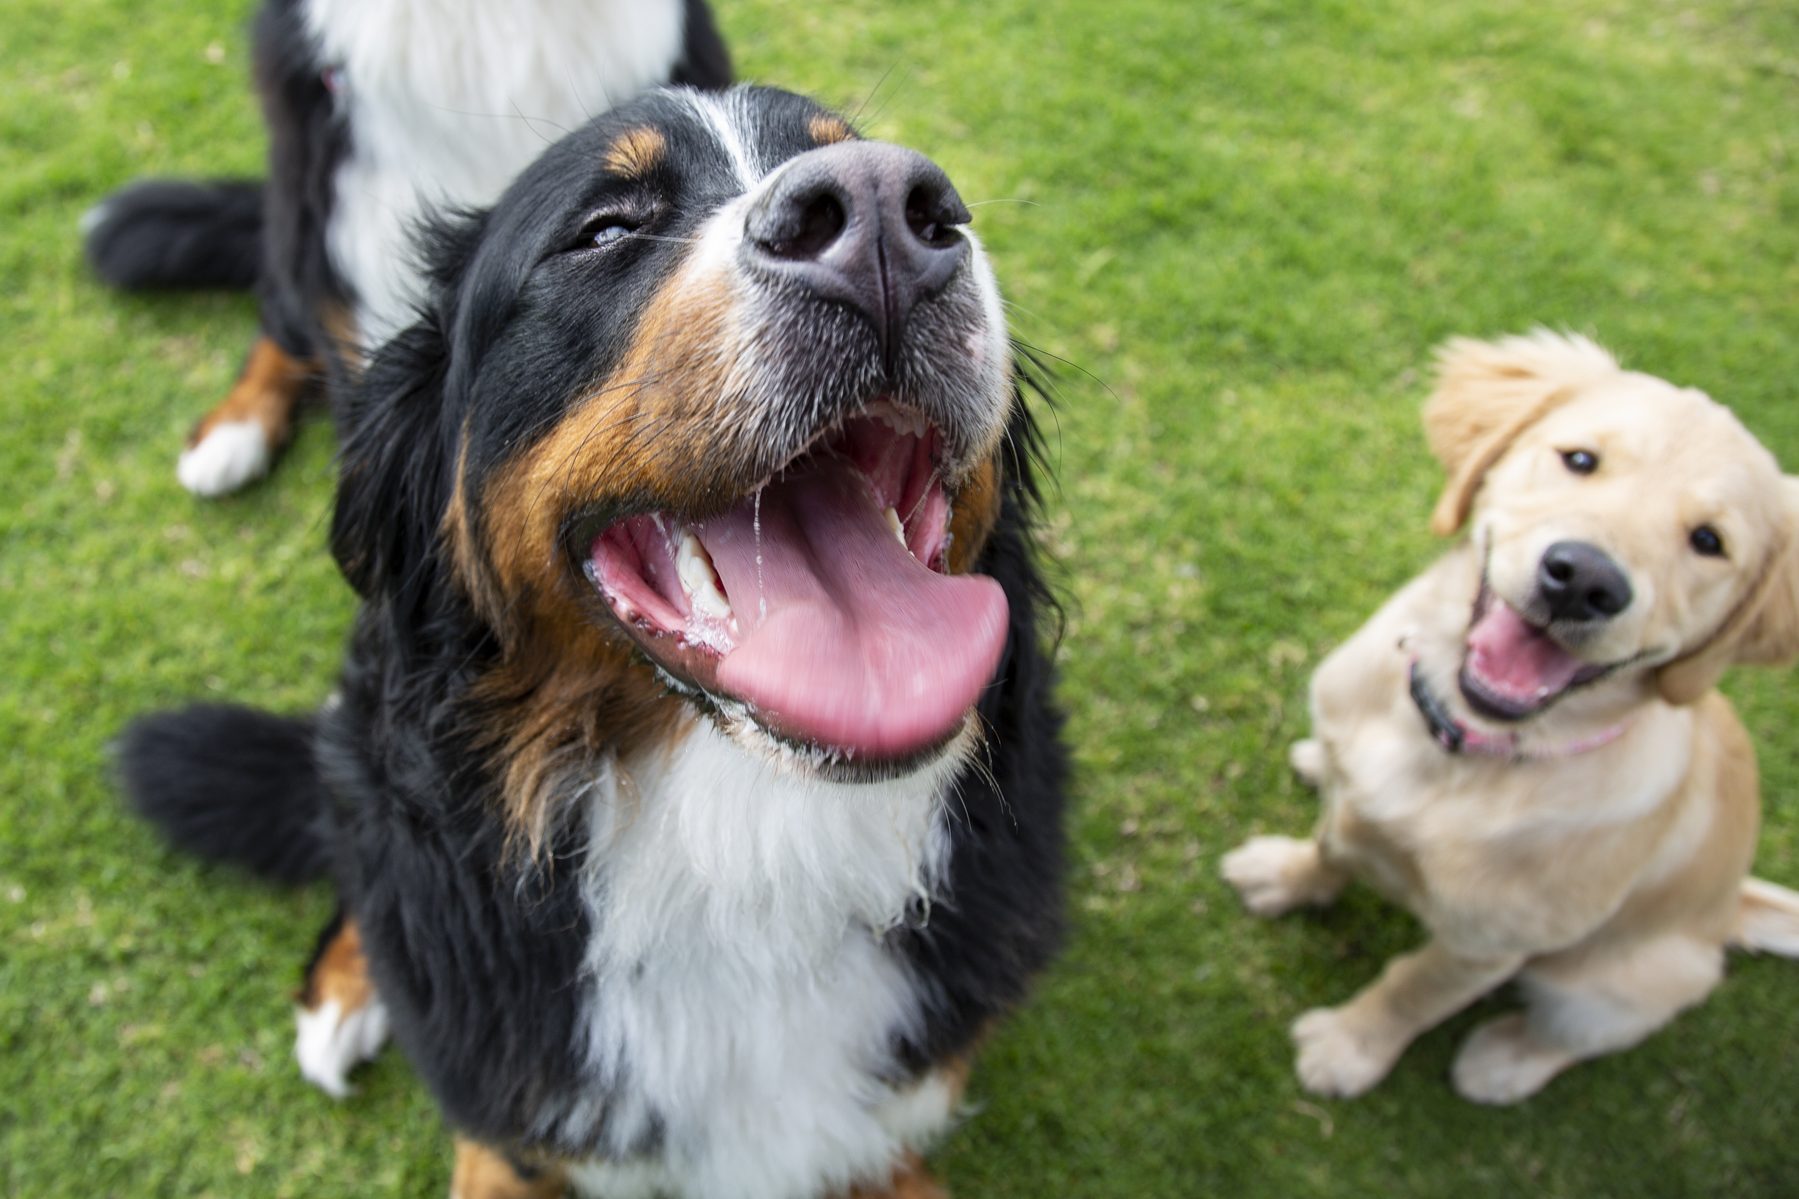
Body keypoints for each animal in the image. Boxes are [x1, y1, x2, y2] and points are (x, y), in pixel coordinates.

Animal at [1223, 329, 1799, 1101]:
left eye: (1709, 541)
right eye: (1579, 459)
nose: (1584, 580)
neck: (1458, 747)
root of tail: (1729, 907)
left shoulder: (1487, 947)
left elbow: (1413, 989)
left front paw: (1347, 1048)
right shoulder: (1356, 805)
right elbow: (1329, 846)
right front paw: (1285, 877)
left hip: (1617, 986)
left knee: (1572, 1037)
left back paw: (1504, 1061)